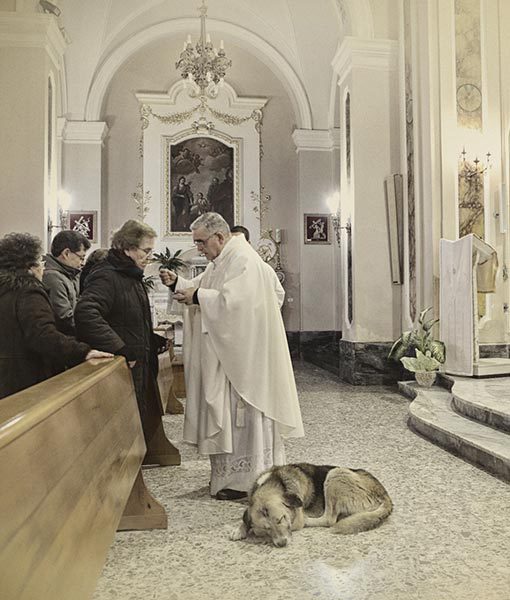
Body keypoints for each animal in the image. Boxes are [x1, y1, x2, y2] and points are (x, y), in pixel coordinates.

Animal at [229, 464, 392, 548]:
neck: (276, 482)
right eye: (266, 528)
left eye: (281, 519)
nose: (282, 544)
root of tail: (384, 494)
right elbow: (245, 517)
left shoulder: (295, 520)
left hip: (335, 474)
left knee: (329, 519)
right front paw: (239, 529)